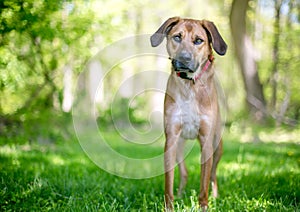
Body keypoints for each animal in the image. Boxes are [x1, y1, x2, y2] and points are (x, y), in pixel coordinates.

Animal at [150, 17, 227, 210]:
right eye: (177, 37)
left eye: (198, 40)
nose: (184, 59)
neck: (190, 86)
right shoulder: (170, 140)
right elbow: (168, 182)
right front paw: (169, 207)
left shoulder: (206, 142)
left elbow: (204, 184)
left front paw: (204, 206)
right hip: (179, 147)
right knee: (184, 172)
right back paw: (180, 195)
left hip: (217, 146)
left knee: (213, 175)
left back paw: (216, 198)